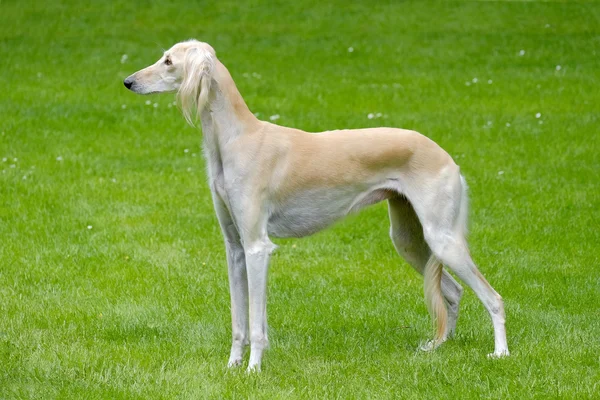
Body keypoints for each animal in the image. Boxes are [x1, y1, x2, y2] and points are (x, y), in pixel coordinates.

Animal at [124, 39, 508, 370]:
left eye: (168, 61)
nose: (128, 81)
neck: (236, 138)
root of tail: (447, 157)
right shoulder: (235, 247)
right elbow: (239, 321)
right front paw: (232, 366)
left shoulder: (257, 247)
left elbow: (257, 324)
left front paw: (253, 369)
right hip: (410, 240)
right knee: (454, 293)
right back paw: (440, 347)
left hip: (442, 238)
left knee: (494, 298)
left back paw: (500, 353)